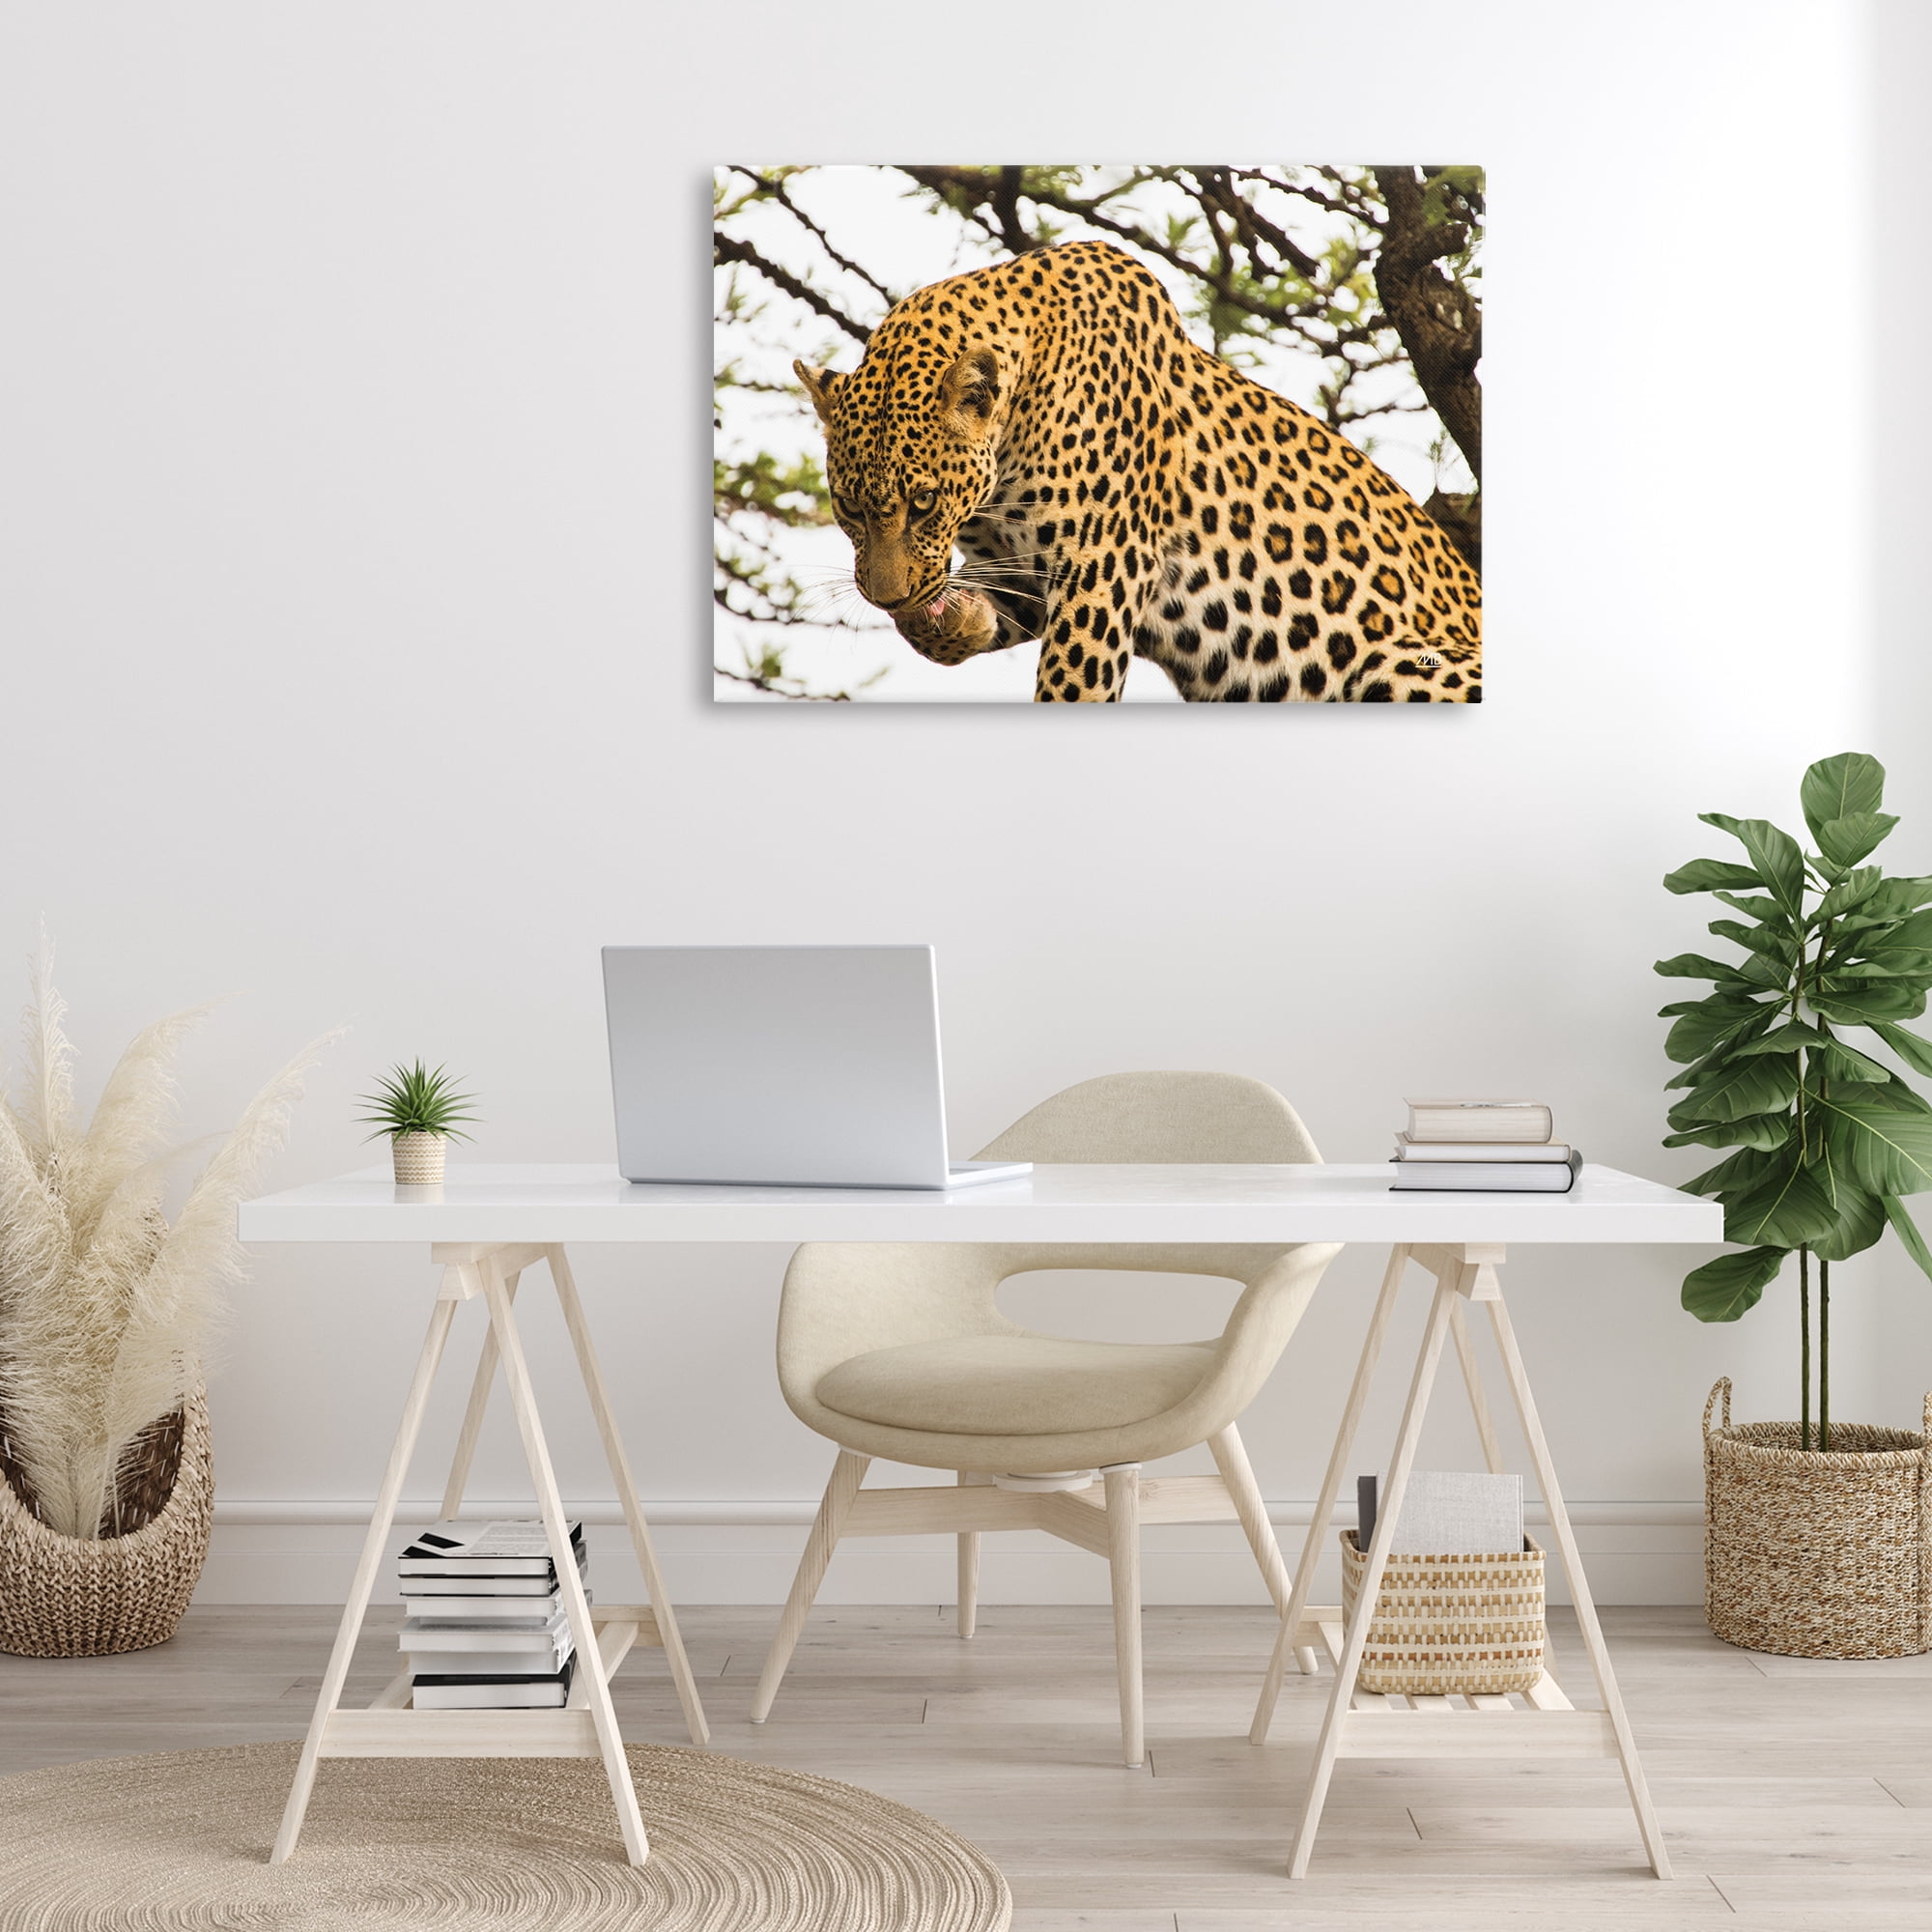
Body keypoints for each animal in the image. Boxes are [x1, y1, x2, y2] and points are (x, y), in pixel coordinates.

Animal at [795, 239, 1480, 703]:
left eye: (925, 503)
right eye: (849, 507)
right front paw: (954, 619)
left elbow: (1073, 686)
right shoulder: (1024, 569)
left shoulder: (1102, 566)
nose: (887, 597)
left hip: (1404, 663)